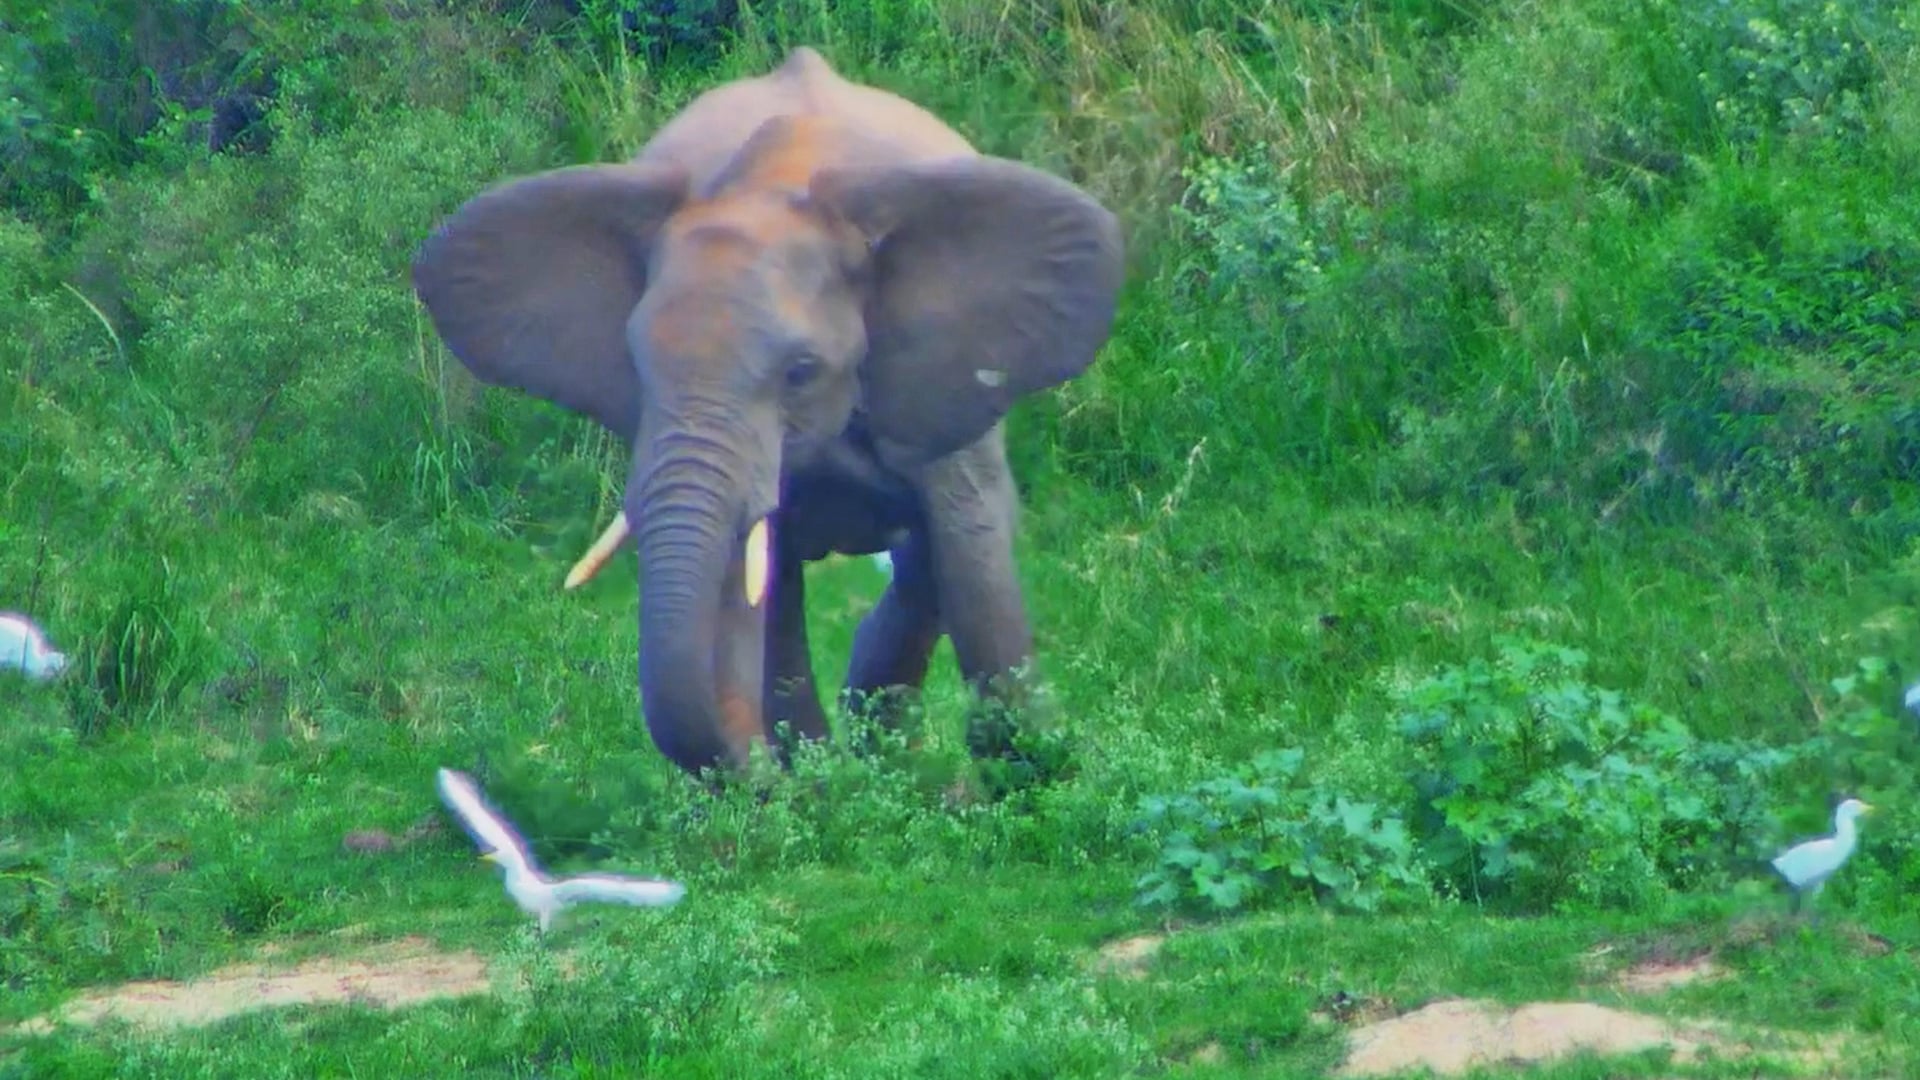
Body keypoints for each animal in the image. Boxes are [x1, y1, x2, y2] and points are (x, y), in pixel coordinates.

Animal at [410, 46, 1126, 778]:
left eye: (800, 372)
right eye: (635, 369)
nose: (747, 762)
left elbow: (970, 544)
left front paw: (1028, 771)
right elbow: (759, 582)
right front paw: (809, 783)